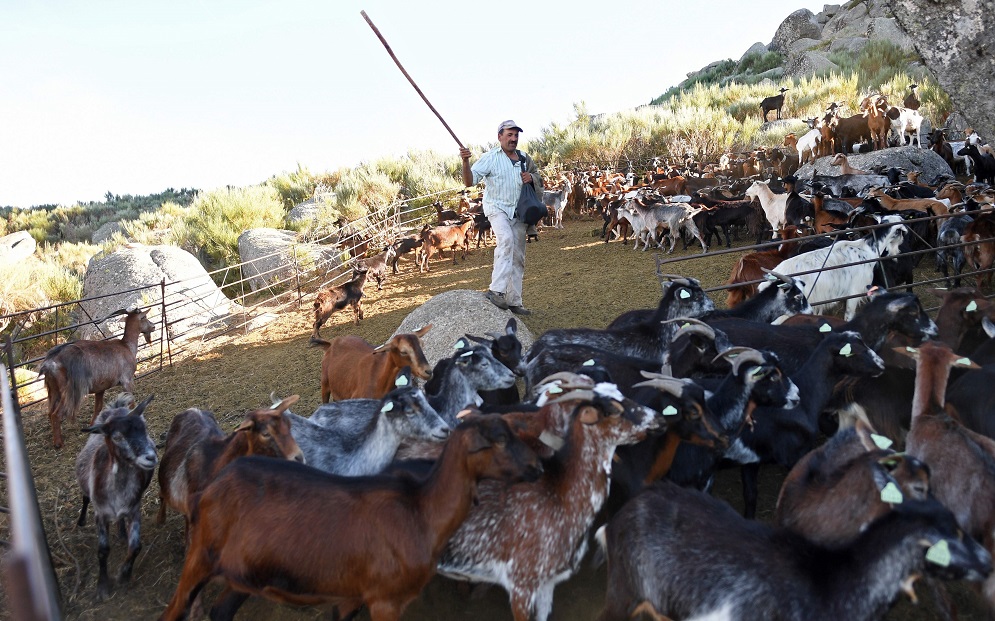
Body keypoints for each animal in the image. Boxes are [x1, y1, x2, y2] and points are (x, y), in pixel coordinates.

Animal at [40, 308, 156, 448]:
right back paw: (58, 443)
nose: (153, 326)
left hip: (53, 389)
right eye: (144, 317)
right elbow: (131, 401)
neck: (126, 346)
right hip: (68, 391)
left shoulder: (101, 388)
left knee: (50, 412)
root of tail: (49, 363)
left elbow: (98, 408)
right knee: (56, 414)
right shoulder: (127, 380)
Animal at [75, 392, 156, 600]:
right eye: (117, 436)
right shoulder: (100, 514)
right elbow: (103, 551)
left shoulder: (134, 510)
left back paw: (121, 532)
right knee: (85, 498)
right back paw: (81, 520)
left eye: (144, 428)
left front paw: (123, 576)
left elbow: (135, 546)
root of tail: (116, 407)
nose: (151, 457)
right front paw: (102, 587)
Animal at [157, 412, 544, 620]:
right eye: (499, 439)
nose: (539, 467)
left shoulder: (350, 598)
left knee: (221, 612)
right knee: (174, 609)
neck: (421, 510)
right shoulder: (385, 601)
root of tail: (208, 489)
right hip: (200, 558)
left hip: (242, 574)